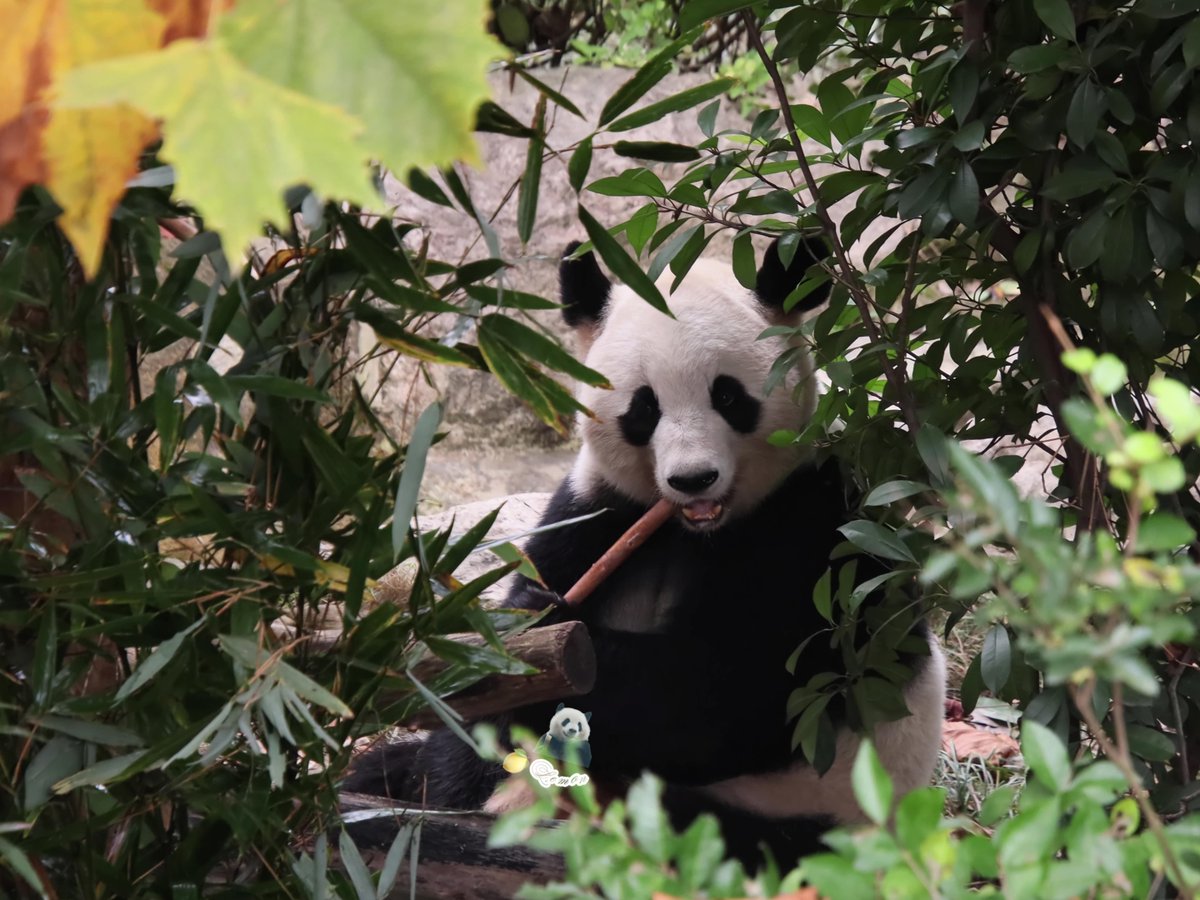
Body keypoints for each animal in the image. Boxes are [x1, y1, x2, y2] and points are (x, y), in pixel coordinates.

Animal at [346, 235, 946, 868]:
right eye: (644, 408)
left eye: (727, 396)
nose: (692, 479)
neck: (692, 530)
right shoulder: (599, 507)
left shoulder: (812, 537)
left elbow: (719, 694)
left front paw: (546, 624)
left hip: (801, 808)